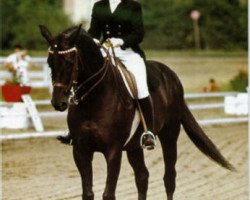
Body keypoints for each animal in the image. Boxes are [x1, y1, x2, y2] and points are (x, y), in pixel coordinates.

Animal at [39, 25, 232, 200]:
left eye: (70, 62)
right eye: (49, 62)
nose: (58, 102)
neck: (94, 100)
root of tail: (171, 76)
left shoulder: (113, 151)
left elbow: (108, 194)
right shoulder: (80, 150)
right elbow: (88, 193)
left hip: (169, 135)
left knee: (169, 178)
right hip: (134, 146)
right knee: (142, 176)